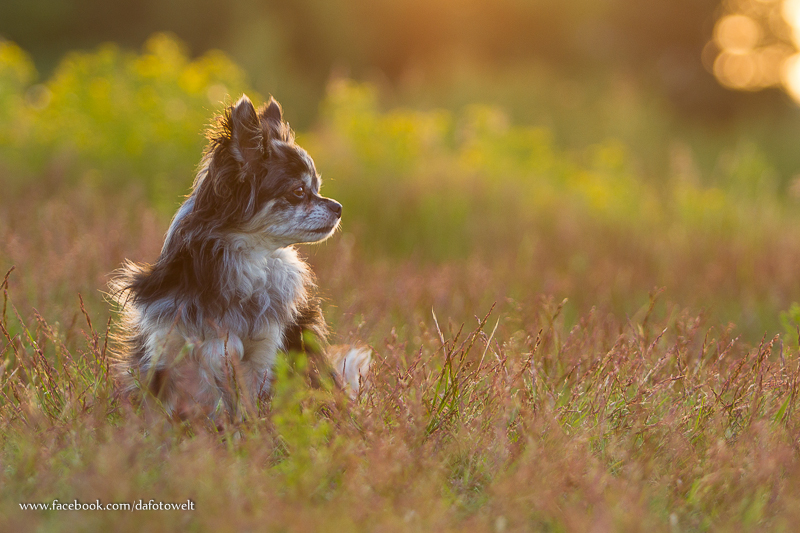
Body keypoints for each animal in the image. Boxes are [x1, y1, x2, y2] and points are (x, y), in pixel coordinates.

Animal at [110, 93, 372, 418]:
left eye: (317, 188)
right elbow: (168, 405)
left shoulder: (266, 351)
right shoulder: (168, 345)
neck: (251, 260)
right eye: (299, 191)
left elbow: (254, 404)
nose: (338, 207)